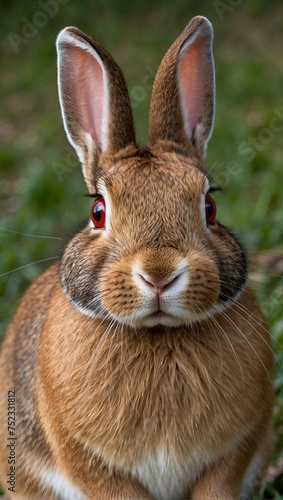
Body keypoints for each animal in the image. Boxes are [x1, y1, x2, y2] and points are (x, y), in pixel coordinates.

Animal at [0, 14, 276, 500]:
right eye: (98, 211)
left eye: (210, 207)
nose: (159, 274)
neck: (158, 335)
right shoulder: (83, 457)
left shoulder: (234, 452)